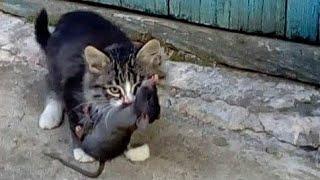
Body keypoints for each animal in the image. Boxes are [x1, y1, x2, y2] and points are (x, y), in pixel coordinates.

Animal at [35, 8, 166, 162]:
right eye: (114, 89)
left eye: (138, 85)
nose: (129, 102)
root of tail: (67, 17)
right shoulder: (72, 88)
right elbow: (75, 120)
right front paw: (82, 150)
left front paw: (131, 149)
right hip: (56, 64)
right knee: (52, 81)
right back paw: (50, 114)